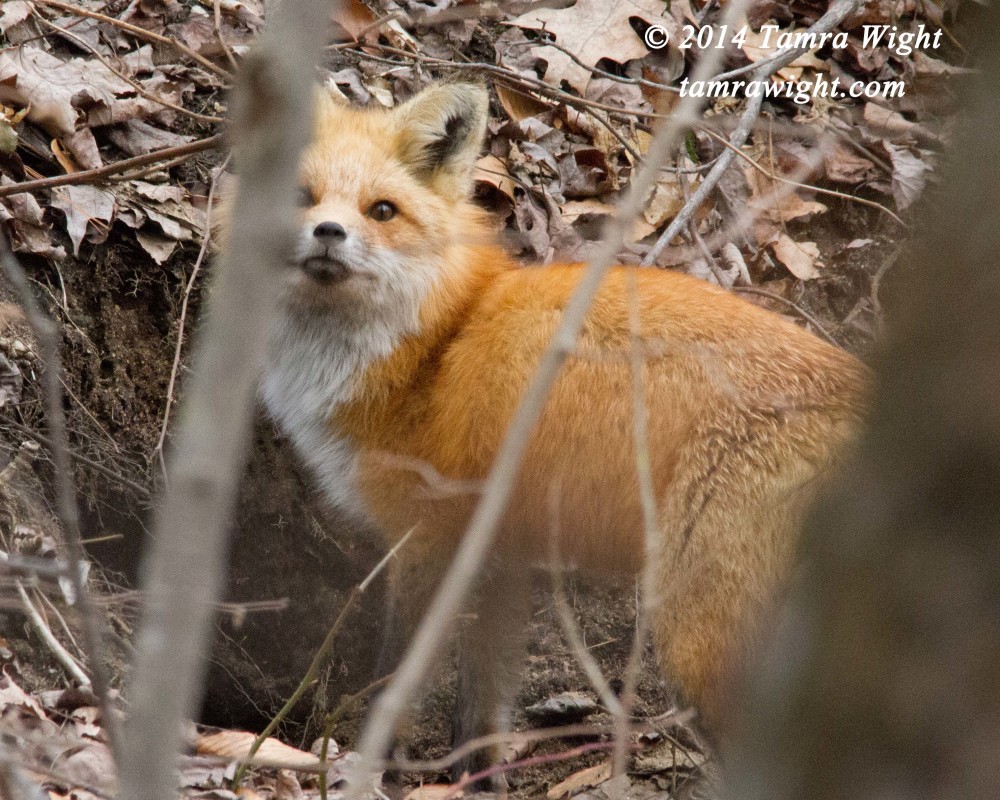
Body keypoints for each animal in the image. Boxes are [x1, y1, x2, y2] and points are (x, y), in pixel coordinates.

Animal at [248, 84, 868, 780]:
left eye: (381, 211)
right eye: (303, 197)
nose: (328, 232)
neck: (433, 344)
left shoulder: (425, 539)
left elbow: (396, 680)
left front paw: (375, 767)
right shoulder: (501, 555)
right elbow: (482, 708)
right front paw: (473, 782)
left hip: (698, 637)